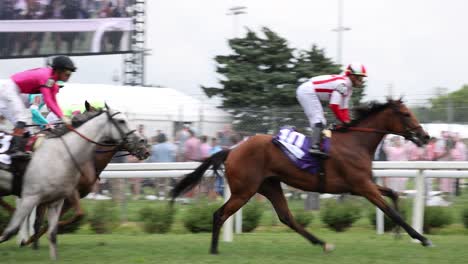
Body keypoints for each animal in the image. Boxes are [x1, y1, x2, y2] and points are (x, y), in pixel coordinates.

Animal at [0, 105, 145, 260]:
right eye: (121, 121)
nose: (144, 144)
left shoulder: (56, 198)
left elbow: (53, 226)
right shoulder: (63, 194)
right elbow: (72, 216)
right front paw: (30, 241)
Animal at [172, 99, 432, 254]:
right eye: (406, 114)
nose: (425, 136)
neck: (356, 142)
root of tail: (232, 150)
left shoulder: (361, 185)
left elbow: (394, 194)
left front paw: (399, 234)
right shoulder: (362, 186)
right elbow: (391, 211)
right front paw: (422, 238)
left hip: (269, 185)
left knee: (287, 217)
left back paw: (323, 243)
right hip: (245, 190)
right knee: (220, 214)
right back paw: (214, 250)